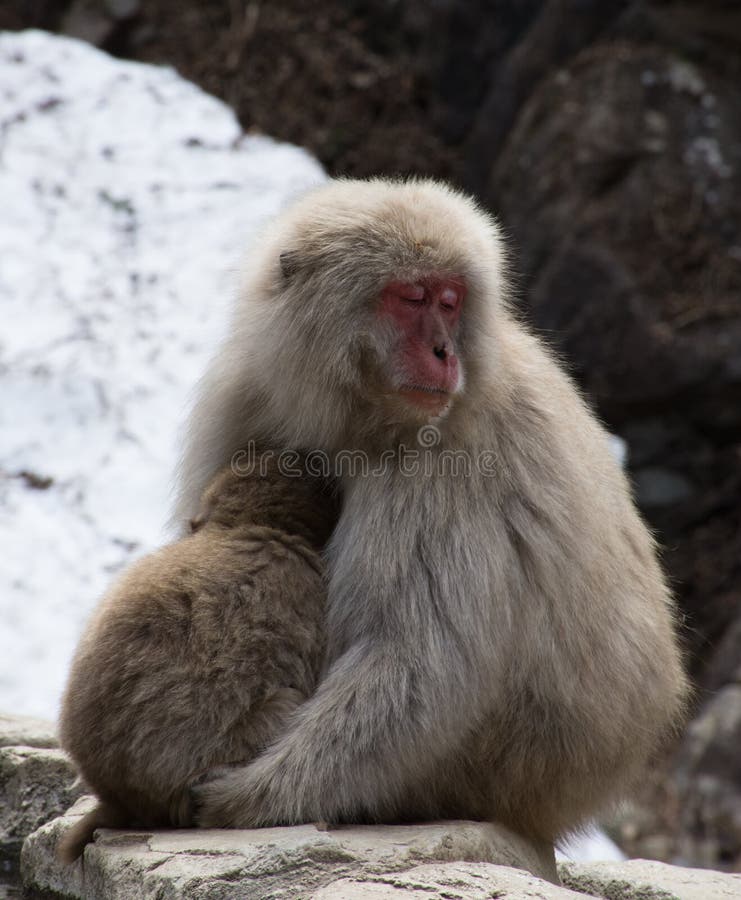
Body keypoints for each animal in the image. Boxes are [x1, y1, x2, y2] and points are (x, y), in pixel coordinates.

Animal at [175, 178, 688, 844]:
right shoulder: (248, 394)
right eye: (412, 297)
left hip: (500, 766)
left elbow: (419, 662)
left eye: (450, 301)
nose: (445, 351)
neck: (357, 418)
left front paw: (249, 797)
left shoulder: (443, 462)